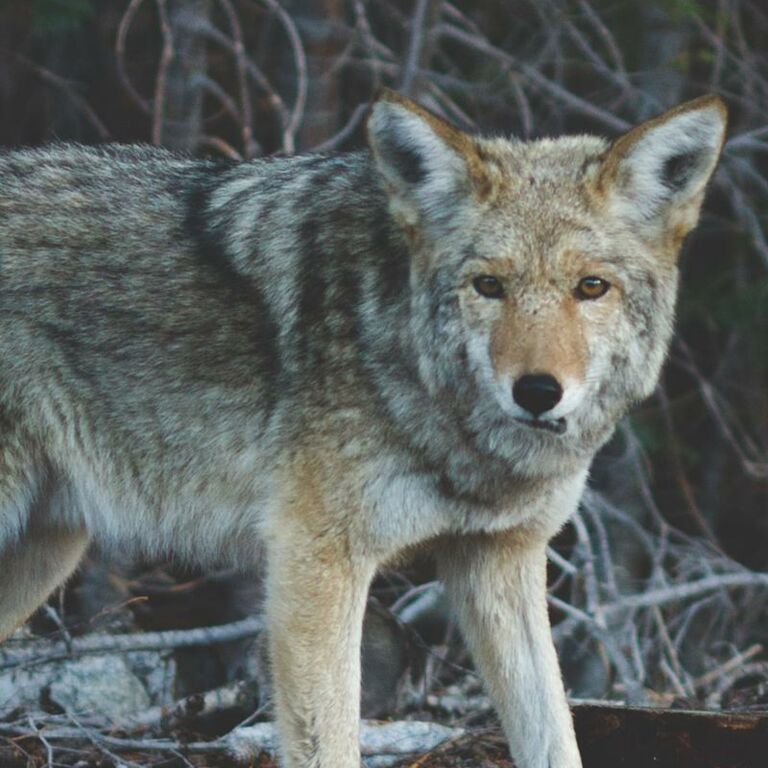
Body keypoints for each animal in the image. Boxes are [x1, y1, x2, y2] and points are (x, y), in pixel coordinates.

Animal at [0, 89, 726, 767]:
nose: (538, 391)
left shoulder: (500, 558)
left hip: (47, 550)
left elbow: (555, 733)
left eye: (591, 287)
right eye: (488, 286)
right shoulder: (314, 561)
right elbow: (332, 741)